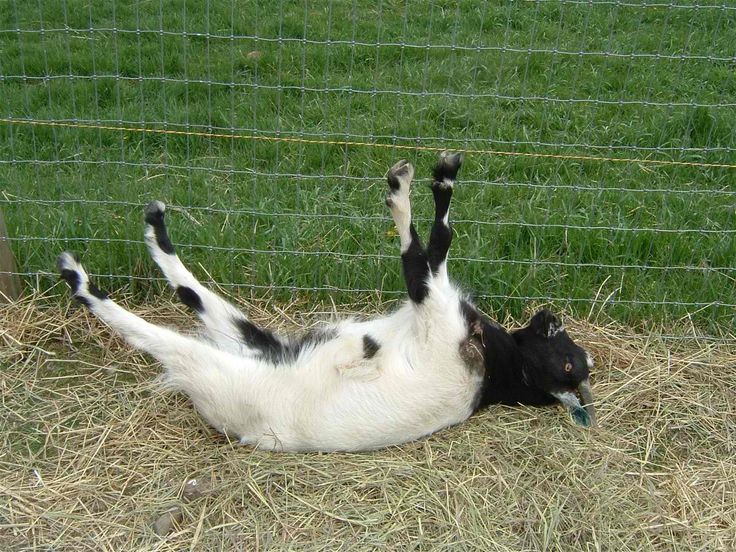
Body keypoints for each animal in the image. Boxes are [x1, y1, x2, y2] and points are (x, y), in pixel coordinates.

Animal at [58, 153, 596, 452]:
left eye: (569, 364)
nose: (550, 316)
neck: (497, 371)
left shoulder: (434, 309)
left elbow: (427, 246)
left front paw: (414, 183)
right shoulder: (432, 305)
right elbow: (434, 247)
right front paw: (434, 176)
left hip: (223, 368)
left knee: (159, 336)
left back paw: (78, 277)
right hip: (263, 340)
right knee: (194, 293)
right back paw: (154, 227)